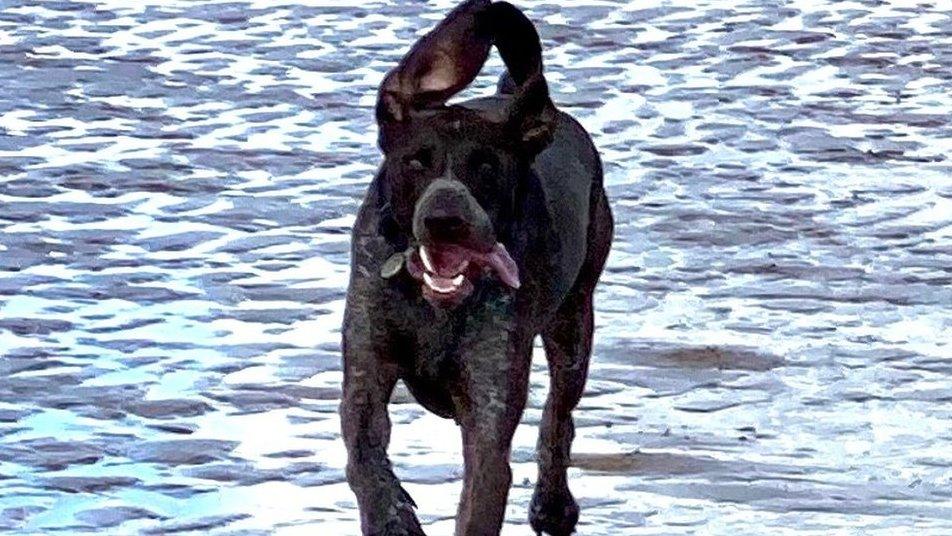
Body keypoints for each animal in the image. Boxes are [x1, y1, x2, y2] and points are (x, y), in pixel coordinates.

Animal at [338, 2, 612, 532]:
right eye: (416, 162)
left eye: (486, 166)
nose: (446, 220)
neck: (434, 306)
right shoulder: (365, 368)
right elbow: (363, 457)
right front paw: (391, 515)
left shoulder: (488, 415)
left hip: (574, 324)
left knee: (558, 415)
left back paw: (553, 503)